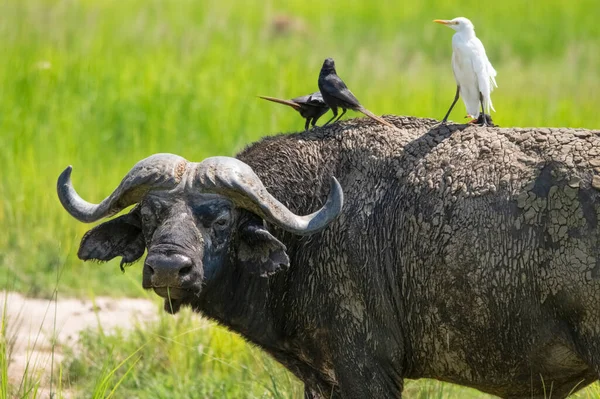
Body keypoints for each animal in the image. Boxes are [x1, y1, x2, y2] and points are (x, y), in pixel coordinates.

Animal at [58, 116, 600, 399]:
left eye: (221, 219)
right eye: (151, 215)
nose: (169, 267)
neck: (309, 229)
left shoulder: (368, 370)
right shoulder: (322, 380)